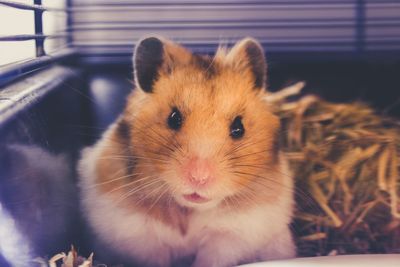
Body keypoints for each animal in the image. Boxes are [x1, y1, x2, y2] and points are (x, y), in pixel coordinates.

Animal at [78, 36, 296, 266]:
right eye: (173, 118)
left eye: (239, 128)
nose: (199, 178)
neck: (189, 208)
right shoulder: (136, 234)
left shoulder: (234, 234)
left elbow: (212, 256)